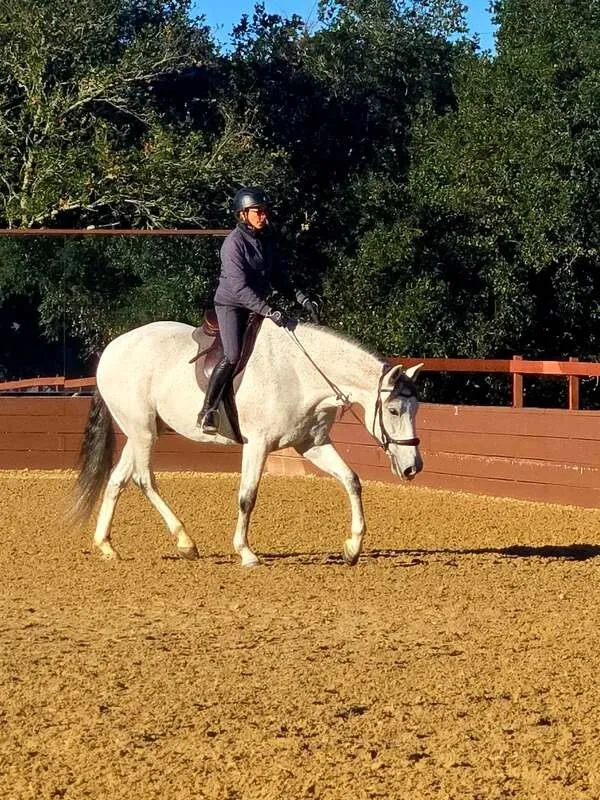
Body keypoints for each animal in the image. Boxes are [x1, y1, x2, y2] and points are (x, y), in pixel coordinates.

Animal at [71, 319, 423, 566]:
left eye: (416, 408)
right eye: (393, 410)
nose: (413, 468)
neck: (300, 373)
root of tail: (112, 349)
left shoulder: (312, 444)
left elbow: (352, 480)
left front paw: (352, 548)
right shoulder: (258, 445)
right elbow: (247, 497)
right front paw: (246, 552)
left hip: (142, 431)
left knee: (118, 479)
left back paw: (106, 545)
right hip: (142, 430)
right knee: (144, 479)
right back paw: (185, 542)